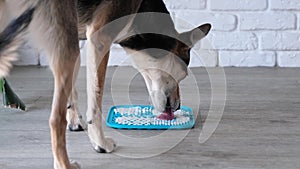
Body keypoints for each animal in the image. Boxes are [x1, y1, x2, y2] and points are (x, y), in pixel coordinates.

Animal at [0, 0, 211, 168]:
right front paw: (99, 142)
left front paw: (75, 121)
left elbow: (73, 92)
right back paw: (64, 164)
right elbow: (96, 100)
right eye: (183, 74)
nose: (177, 106)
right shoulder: (99, 39)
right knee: (55, 119)